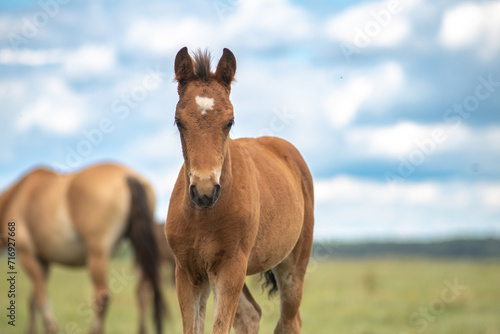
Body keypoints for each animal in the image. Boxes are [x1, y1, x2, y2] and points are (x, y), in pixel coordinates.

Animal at [0, 163, 164, 332]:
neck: (15, 196)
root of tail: (127, 174)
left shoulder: (27, 254)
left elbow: (40, 297)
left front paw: (49, 328)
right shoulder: (43, 261)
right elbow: (33, 300)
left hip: (97, 254)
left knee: (102, 295)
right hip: (138, 249)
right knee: (142, 292)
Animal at [165, 47, 312, 334]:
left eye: (229, 122)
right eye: (178, 121)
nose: (205, 191)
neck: (203, 217)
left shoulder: (230, 268)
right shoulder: (187, 272)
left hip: (292, 266)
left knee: (289, 322)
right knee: (251, 315)